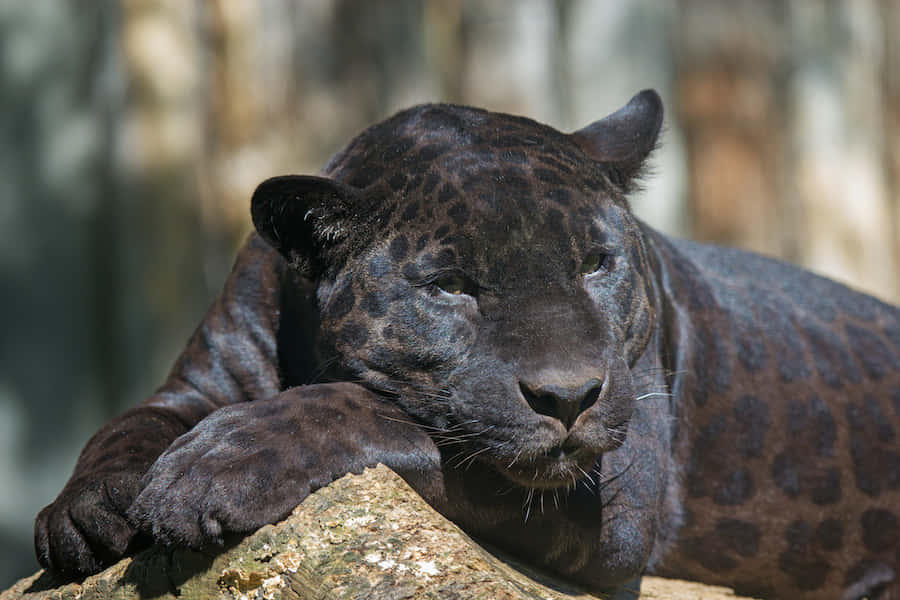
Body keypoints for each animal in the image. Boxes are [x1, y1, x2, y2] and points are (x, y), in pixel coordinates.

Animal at [35, 90, 900, 599]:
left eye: (596, 263)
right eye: (452, 285)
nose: (569, 396)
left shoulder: (617, 491)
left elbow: (382, 413)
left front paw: (215, 469)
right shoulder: (204, 381)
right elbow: (124, 424)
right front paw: (83, 515)